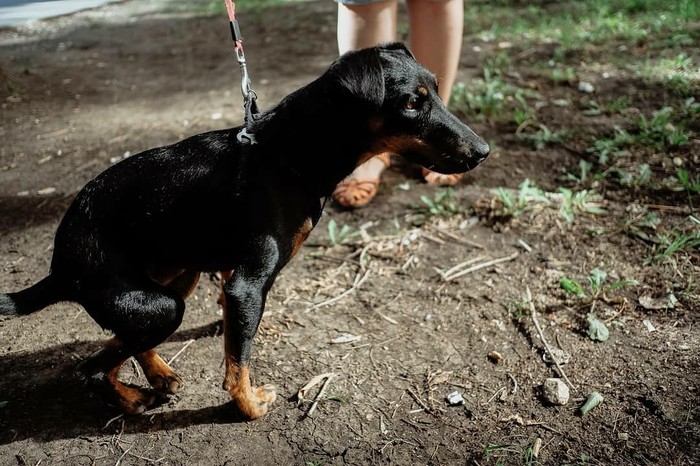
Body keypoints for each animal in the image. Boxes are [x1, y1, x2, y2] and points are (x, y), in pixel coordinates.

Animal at [0, 43, 490, 420]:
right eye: (410, 103)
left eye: (438, 91)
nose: (483, 151)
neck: (288, 153)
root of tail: (60, 265)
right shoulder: (247, 287)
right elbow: (239, 364)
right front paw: (249, 407)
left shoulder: (228, 281)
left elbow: (234, 343)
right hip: (161, 305)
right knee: (92, 368)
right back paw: (132, 399)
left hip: (176, 278)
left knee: (124, 342)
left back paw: (158, 375)